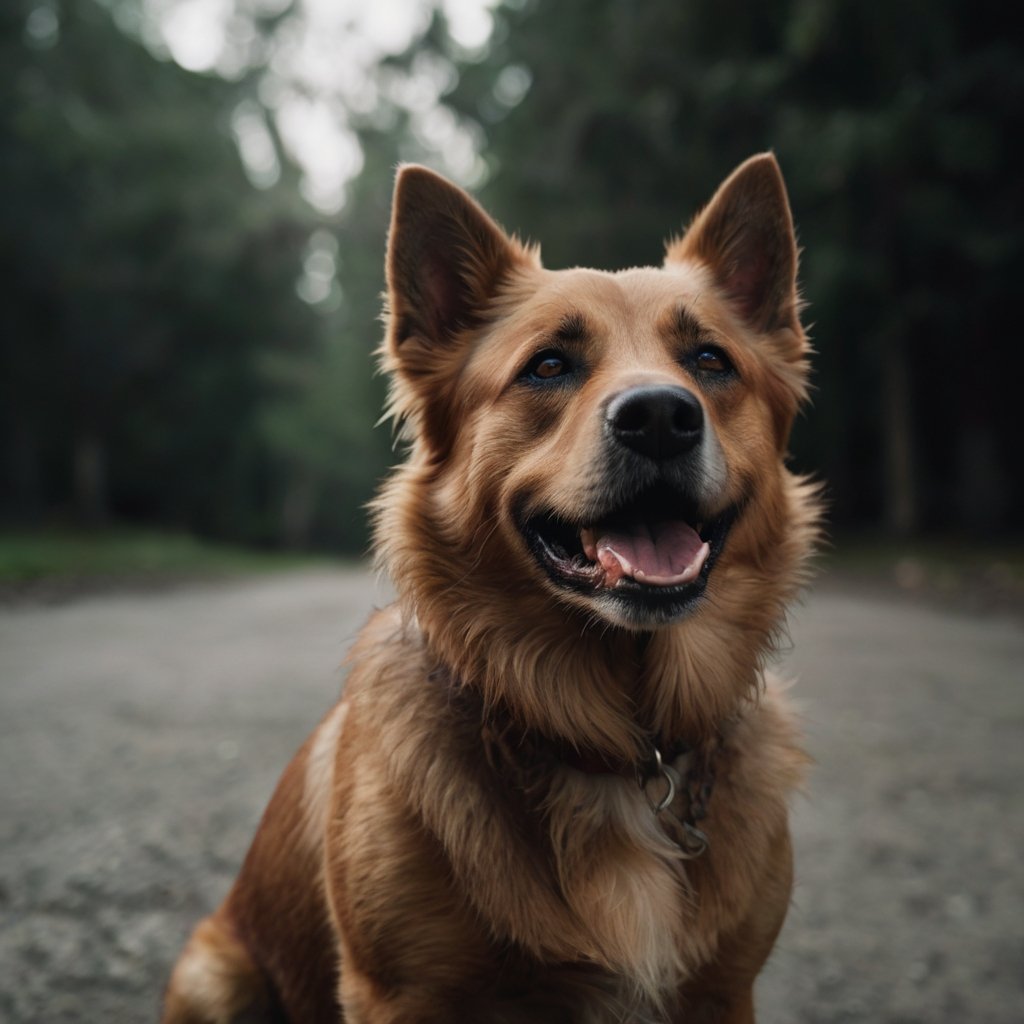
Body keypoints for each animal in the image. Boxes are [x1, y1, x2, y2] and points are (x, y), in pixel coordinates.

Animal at [163, 153, 819, 1024]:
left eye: (710, 362)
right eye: (548, 366)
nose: (659, 417)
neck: (616, 746)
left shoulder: (721, 991)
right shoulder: (400, 997)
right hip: (216, 975)